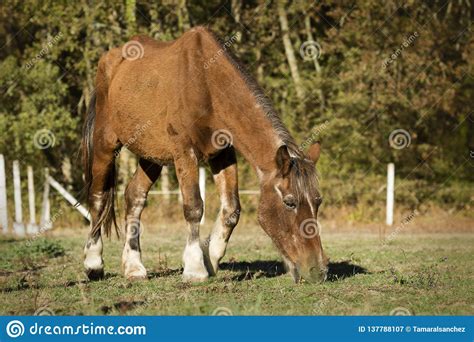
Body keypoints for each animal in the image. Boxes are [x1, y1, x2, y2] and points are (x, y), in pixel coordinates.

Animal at [81, 26, 328, 284]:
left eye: (318, 201)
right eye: (289, 202)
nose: (318, 271)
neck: (206, 82)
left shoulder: (223, 154)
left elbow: (231, 210)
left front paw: (210, 259)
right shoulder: (184, 152)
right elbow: (194, 207)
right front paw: (195, 268)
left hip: (151, 155)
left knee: (134, 197)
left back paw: (134, 267)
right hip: (105, 143)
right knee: (98, 198)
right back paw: (93, 263)